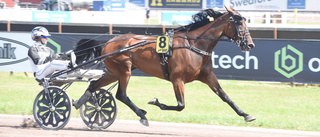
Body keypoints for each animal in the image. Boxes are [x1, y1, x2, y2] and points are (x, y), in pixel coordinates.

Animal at [74, 6, 256, 126]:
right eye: (240, 24)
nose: (250, 45)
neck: (193, 44)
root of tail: (108, 42)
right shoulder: (177, 79)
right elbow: (181, 105)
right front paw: (156, 102)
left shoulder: (207, 76)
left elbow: (225, 96)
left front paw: (246, 115)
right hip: (124, 70)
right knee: (121, 95)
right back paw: (141, 115)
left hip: (113, 72)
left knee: (94, 85)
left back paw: (83, 104)